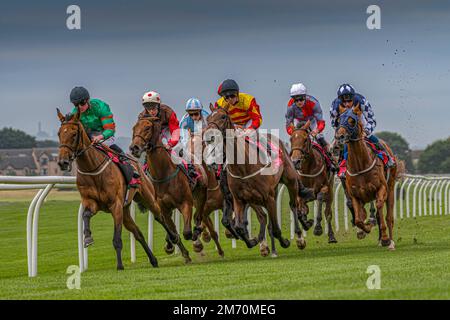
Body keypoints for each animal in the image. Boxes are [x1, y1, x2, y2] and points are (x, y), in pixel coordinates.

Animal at [55, 108, 165, 270]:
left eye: (74, 134)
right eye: (59, 133)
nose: (62, 162)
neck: (93, 169)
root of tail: (138, 165)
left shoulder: (116, 205)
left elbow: (117, 239)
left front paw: (119, 265)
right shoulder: (91, 202)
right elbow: (85, 215)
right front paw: (87, 237)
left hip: (147, 198)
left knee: (160, 217)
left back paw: (176, 241)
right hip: (126, 211)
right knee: (138, 233)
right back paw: (153, 260)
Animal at [128, 113, 207, 260]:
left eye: (147, 128)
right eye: (134, 128)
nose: (134, 148)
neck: (162, 174)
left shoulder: (186, 203)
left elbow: (187, 232)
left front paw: (195, 238)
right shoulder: (163, 208)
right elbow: (173, 231)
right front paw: (181, 251)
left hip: (201, 193)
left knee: (198, 215)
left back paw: (198, 233)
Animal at [204, 104, 312, 254]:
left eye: (223, 116)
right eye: (208, 118)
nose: (209, 136)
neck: (242, 167)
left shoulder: (267, 198)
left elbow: (275, 228)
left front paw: (284, 241)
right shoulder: (238, 199)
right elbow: (238, 225)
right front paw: (254, 240)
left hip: (290, 181)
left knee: (293, 205)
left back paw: (300, 237)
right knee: (263, 216)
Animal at [334, 105, 398, 250]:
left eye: (352, 120)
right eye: (338, 120)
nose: (339, 136)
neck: (360, 166)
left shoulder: (381, 188)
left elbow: (379, 208)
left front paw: (384, 238)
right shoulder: (355, 195)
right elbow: (358, 219)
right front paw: (365, 228)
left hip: (391, 188)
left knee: (388, 217)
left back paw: (390, 242)